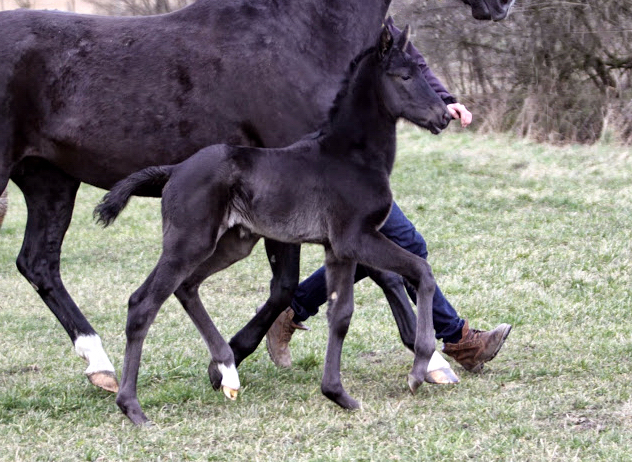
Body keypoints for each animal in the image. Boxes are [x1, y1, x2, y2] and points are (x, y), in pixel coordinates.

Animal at [95, 24, 450, 422]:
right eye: (404, 76)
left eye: (420, 70)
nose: (443, 116)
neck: (350, 156)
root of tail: (174, 170)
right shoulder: (356, 237)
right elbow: (421, 271)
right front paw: (419, 370)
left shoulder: (338, 249)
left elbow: (340, 314)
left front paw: (338, 393)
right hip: (189, 242)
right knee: (143, 303)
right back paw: (132, 406)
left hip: (233, 242)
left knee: (186, 287)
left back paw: (226, 368)